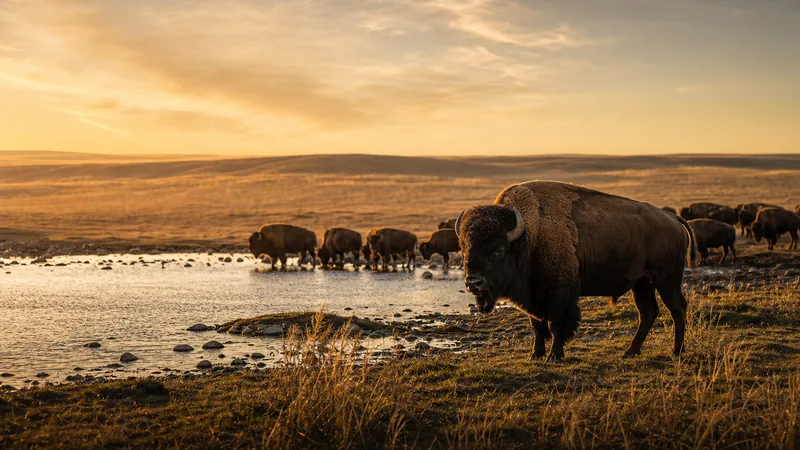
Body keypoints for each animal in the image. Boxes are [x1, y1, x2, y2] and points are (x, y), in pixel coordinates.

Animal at [456, 181, 696, 361]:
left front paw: (555, 356)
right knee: (648, 312)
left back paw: (675, 352)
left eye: (499, 251)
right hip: (642, 283)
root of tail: (673, 219)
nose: (473, 282)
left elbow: (556, 325)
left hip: (666, 281)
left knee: (677, 309)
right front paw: (535, 355)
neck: (530, 235)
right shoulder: (534, 298)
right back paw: (630, 352)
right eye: (464, 249)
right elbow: (537, 326)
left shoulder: (559, 294)